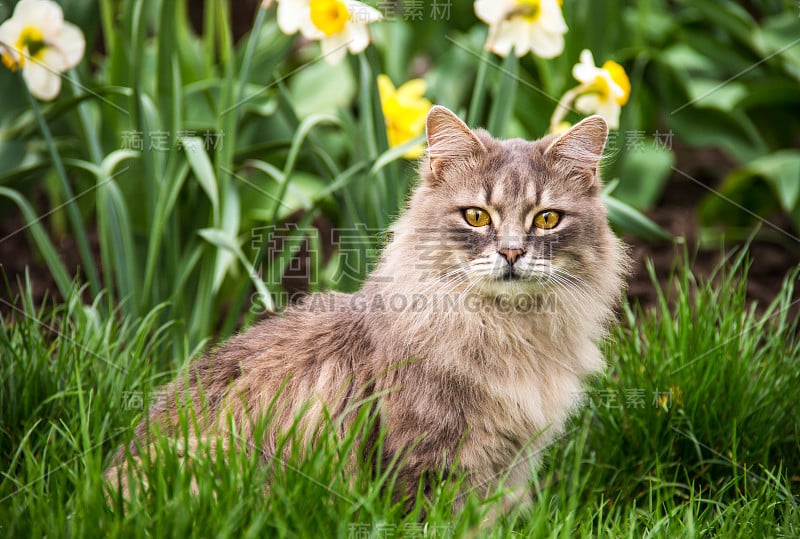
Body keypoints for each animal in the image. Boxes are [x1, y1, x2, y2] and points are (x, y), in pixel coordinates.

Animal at [108, 105, 632, 516]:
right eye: (476, 216)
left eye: (547, 219)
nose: (510, 253)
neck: (507, 332)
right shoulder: (424, 458)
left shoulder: (508, 466)